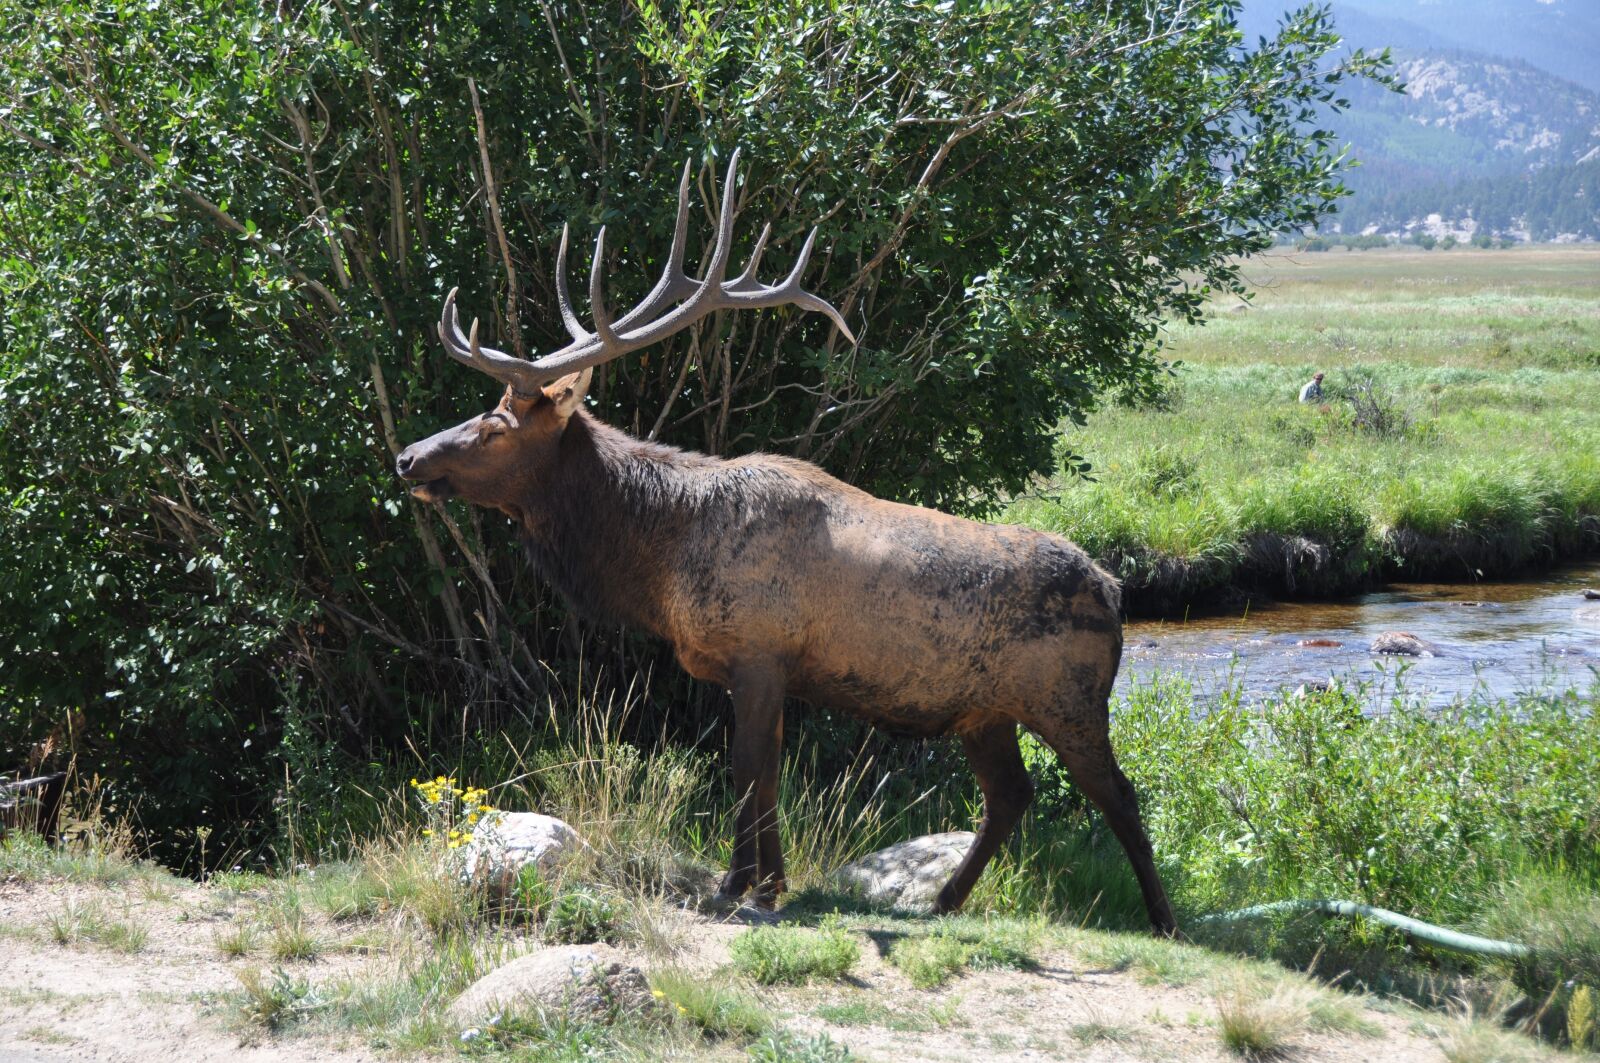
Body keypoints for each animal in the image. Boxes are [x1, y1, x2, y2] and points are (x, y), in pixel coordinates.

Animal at [396, 152, 1177, 935]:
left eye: (495, 425)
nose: (407, 457)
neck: (660, 561)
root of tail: (1114, 590)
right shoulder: (766, 668)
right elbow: (767, 774)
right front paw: (772, 882)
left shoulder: (759, 649)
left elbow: (747, 771)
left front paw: (736, 883)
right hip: (986, 709)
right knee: (1011, 794)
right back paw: (943, 900)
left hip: (1069, 696)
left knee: (1118, 793)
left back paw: (1162, 917)